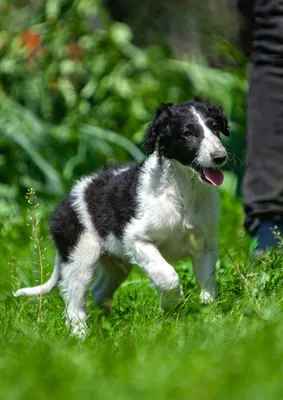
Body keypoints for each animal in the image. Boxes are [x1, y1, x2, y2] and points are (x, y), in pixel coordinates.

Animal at [14, 98, 230, 336]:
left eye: (215, 127)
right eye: (187, 133)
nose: (220, 157)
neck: (184, 191)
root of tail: (63, 203)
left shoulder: (205, 246)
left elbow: (208, 287)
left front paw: (211, 320)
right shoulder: (137, 239)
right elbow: (168, 276)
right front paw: (171, 305)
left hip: (117, 263)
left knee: (99, 291)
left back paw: (106, 325)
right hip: (81, 255)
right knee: (74, 302)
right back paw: (81, 336)